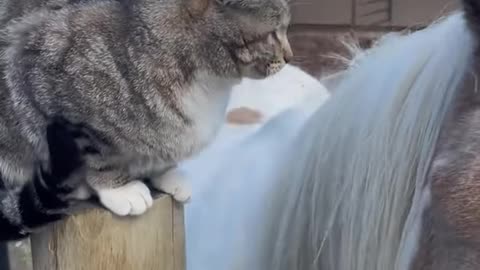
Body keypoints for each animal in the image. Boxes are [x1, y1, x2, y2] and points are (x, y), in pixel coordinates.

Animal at [0, 0, 292, 217]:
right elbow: (96, 153)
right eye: (274, 33)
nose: (289, 57)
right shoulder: (48, 78)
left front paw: (165, 173)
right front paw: (118, 189)